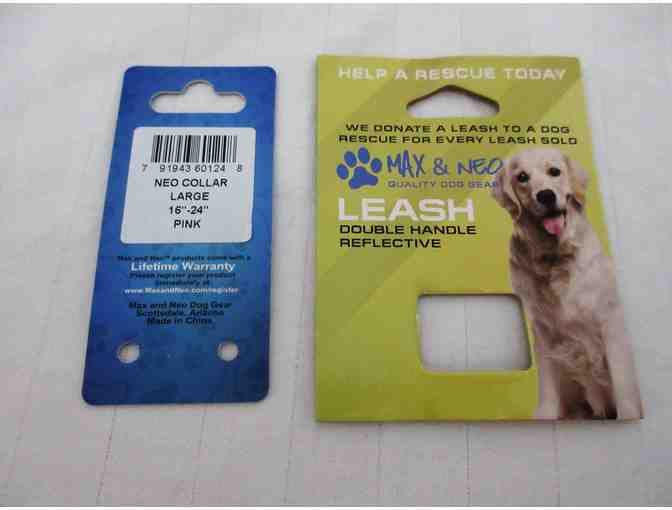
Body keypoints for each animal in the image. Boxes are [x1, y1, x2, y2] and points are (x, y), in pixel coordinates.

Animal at [492, 148, 642, 420]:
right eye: (522, 177)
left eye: (555, 171)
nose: (546, 195)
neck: (554, 259)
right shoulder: (542, 329)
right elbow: (548, 386)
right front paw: (547, 414)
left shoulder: (610, 320)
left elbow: (622, 380)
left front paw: (628, 414)